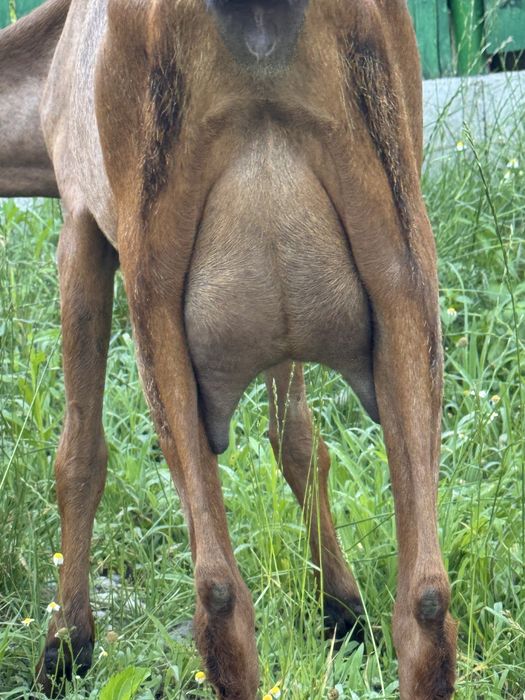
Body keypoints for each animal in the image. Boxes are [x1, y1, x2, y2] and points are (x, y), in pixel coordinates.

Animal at [0, 0, 457, 697]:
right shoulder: (285, 321)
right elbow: (298, 438)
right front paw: (343, 609)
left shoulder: (81, 227)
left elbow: (78, 454)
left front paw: (65, 647)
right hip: (406, 269)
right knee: (425, 602)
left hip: (152, 294)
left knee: (216, 595)